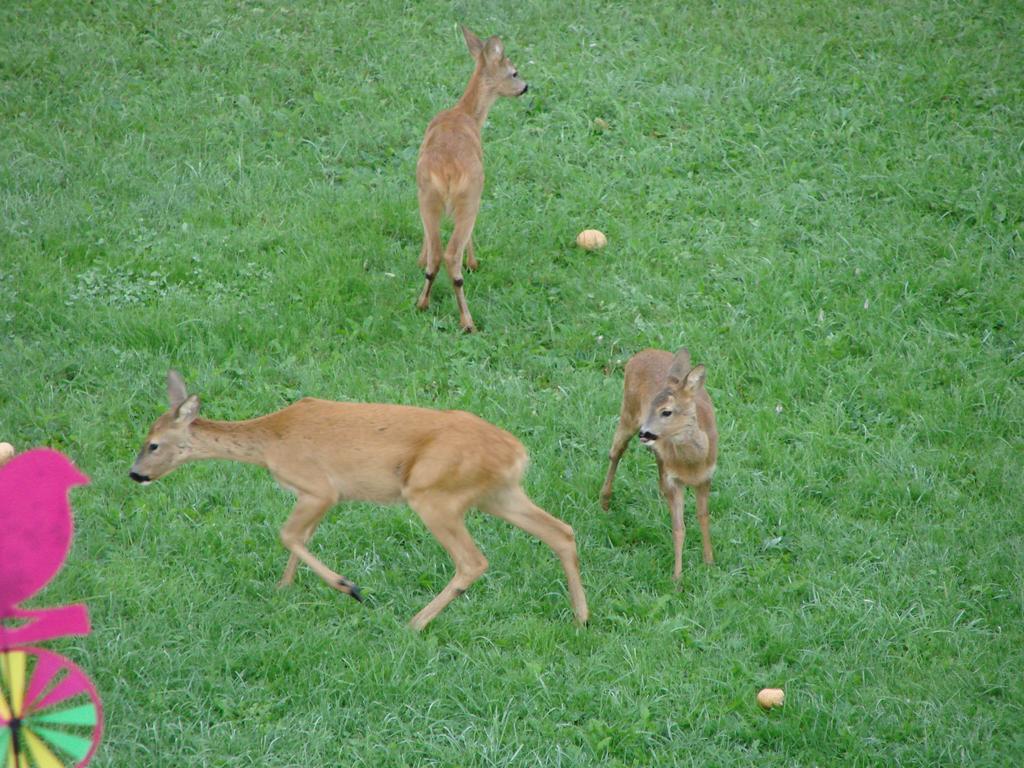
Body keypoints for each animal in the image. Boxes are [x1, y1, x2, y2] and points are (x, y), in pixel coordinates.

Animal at [132, 370, 589, 630]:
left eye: (153, 444)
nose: (135, 474)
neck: (269, 443)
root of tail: (517, 452)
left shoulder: (319, 486)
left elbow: (288, 534)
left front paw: (348, 586)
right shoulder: (319, 496)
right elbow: (299, 538)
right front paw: (283, 589)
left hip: (432, 492)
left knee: (473, 561)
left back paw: (414, 623)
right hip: (497, 493)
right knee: (561, 532)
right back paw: (581, 617)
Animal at [413, 25, 528, 331]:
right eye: (514, 72)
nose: (526, 87)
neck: (466, 114)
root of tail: (447, 171)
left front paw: (418, 259)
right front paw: (474, 262)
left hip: (427, 194)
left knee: (436, 253)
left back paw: (422, 302)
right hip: (470, 194)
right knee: (451, 253)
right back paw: (467, 321)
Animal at [598, 348, 716, 581]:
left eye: (666, 411)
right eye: (651, 405)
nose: (645, 432)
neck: (693, 463)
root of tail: (641, 353)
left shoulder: (706, 478)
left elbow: (703, 516)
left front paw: (709, 563)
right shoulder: (675, 481)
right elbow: (679, 528)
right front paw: (677, 578)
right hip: (628, 412)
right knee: (615, 453)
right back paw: (604, 502)